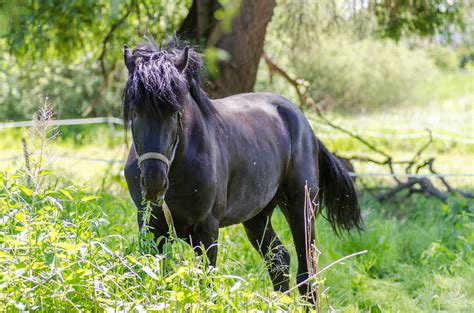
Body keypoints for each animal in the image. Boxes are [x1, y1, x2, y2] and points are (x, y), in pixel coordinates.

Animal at [123, 38, 362, 300]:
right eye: (134, 111)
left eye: (176, 112)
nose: (154, 182)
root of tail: (305, 126)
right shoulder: (151, 225)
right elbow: (156, 277)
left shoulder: (207, 230)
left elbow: (205, 282)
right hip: (258, 216)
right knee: (278, 258)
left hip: (301, 206)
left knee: (306, 273)